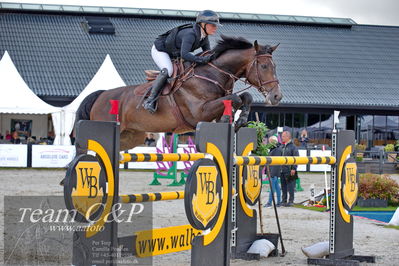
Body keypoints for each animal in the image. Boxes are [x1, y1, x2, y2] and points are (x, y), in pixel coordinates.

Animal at [75, 35, 282, 151]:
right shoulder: (200, 112)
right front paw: (229, 119)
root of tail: (101, 95)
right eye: (264, 66)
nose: (277, 96)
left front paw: (241, 120)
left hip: (131, 137)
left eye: (275, 66)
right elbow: (234, 98)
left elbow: (244, 97)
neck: (213, 74)